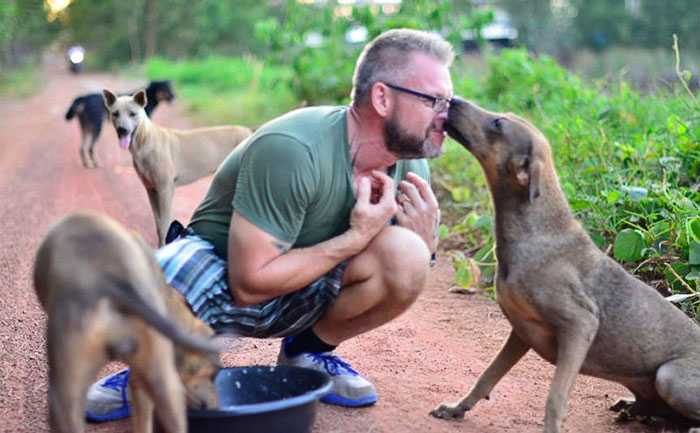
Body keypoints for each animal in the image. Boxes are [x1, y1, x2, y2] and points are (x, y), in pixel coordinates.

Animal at [101, 88, 249, 245]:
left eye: (132, 114)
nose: (122, 130)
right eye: (115, 113)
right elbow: (158, 224)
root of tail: (248, 131)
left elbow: (164, 225)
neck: (145, 140)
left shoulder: (165, 188)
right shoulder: (151, 189)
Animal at [430, 97, 700, 432]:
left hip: (669, 376)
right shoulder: (521, 331)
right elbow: (487, 376)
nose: (452, 100)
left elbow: (555, 399)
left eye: (498, 124)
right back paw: (633, 407)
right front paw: (457, 408)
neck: (535, 228)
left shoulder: (580, 325)